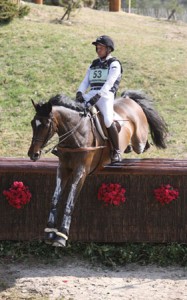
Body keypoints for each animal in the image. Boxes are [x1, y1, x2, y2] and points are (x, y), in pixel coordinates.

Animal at [27, 90, 167, 247]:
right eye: (32, 123)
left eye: (46, 125)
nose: (33, 154)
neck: (76, 134)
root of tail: (128, 99)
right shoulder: (62, 168)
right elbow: (55, 198)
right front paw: (50, 232)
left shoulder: (81, 171)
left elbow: (70, 201)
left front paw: (61, 236)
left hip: (139, 140)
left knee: (143, 145)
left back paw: (121, 152)